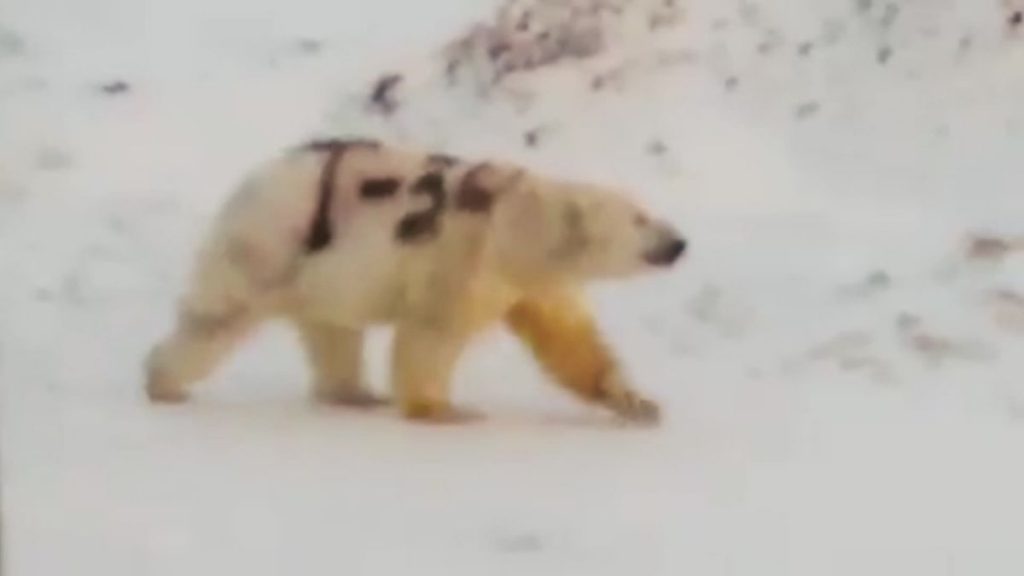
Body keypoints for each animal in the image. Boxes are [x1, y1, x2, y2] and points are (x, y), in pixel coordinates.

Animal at [144, 137, 687, 424]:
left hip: (319, 272)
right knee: (218, 316)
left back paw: (354, 394)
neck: (515, 223)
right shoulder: (460, 255)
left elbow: (569, 338)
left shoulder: (532, 280)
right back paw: (164, 382)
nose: (680, 242)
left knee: (333, 331)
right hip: (273, 243)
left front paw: (638, 403)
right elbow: (431, 333)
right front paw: (449, 410)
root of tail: (256, 178)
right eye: (640, 219)